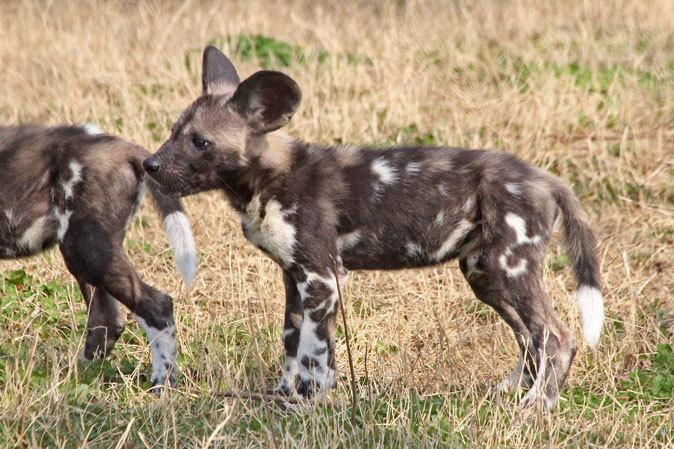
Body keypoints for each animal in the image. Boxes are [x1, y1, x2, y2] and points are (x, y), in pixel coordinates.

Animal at [1, 123, 197, 392]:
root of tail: (122, 146)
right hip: (89, 254)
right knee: (107, 321)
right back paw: (76, 374)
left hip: (84, 249)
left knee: (156, 305)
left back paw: (161, 384)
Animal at [143, 46, 604, 410]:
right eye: (173, 133)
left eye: (200, 142)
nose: (150, 165)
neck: (268, 180)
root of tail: (545, 179)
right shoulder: (295, 277)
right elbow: (292, 342)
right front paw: (285, 395)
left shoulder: (322, 277)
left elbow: (313, 352)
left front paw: (307, 403)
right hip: (484, 274)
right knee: (529, 338)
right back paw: (509, 392)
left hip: (509, 268)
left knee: (556, 337)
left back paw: (536, 406)